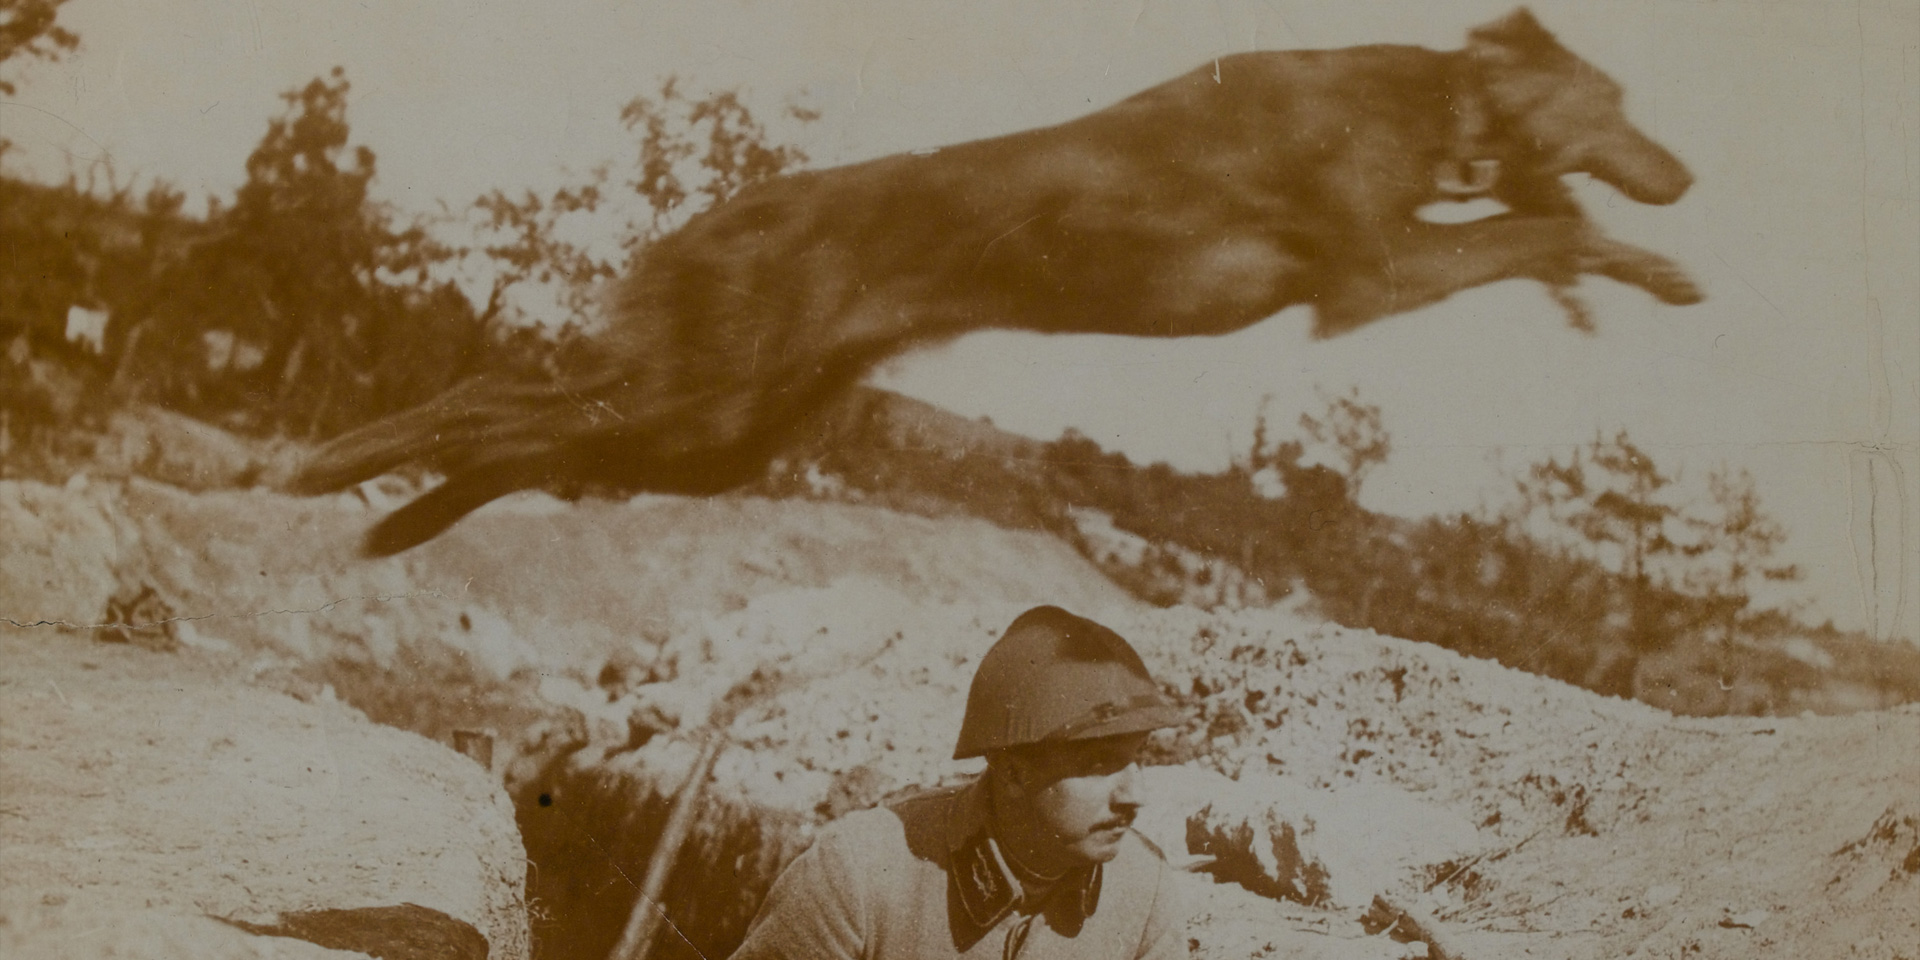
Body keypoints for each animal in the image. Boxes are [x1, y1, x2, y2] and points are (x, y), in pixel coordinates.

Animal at [291, 7, 1704, 556]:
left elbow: (1542, 227)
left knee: (528, 443)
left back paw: (392, 522)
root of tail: (723, 216)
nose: (1687, 175)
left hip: (710, 437)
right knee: (489, 399)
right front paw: (1645, 262)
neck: (1423, 97)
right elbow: (1536, 233)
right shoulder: (1372, 272)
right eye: (1621, 103)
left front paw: (1635, 263)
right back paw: (326, 468)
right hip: (687, 391)